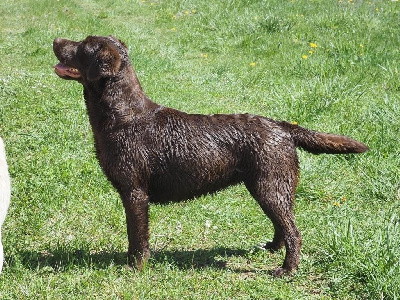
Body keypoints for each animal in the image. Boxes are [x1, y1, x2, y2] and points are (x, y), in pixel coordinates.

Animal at [54, 35, 368, 276]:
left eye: (82, 46)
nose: (56, 40)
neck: (124, 115)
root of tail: (282, 126)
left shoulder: (135, 192)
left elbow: (138, 238)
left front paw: (135, 268)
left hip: (269, 186)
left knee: (294, 231)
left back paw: (286, 270)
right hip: (274, 187)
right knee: (284, 224)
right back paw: (271, 248)